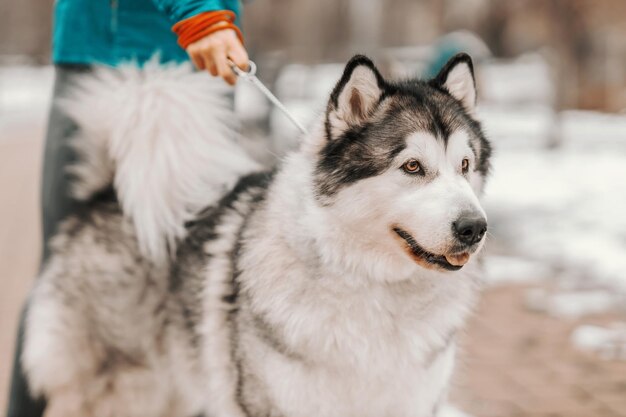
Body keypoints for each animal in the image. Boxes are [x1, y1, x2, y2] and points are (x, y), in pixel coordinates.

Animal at [23, 52, 492, 416]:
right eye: (412, 166)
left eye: (465, 165)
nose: (475, 227)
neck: (375, 287)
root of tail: (107, 194)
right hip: (119, 391)